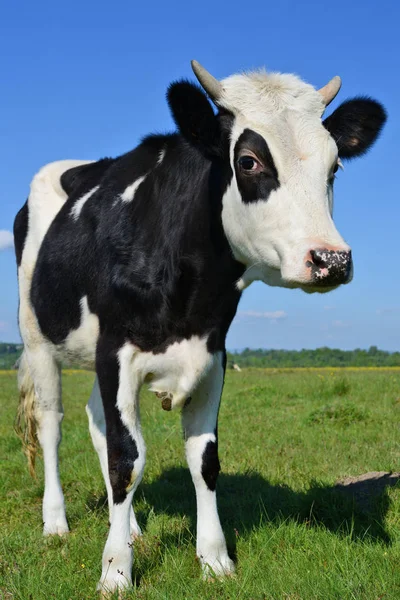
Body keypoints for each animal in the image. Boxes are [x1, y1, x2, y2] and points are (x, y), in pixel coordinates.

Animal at [14, 58, 386, 592]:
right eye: (249, 161)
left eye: (333, 166)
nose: (331, 259)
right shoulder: (116, 352)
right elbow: (127, 458)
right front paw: (116, 572)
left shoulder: (212, 355)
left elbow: (202, 460)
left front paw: (214, 559)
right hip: (38, 340)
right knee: (53, 426)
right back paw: (56, 523)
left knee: (98, 424)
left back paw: (133, 527)